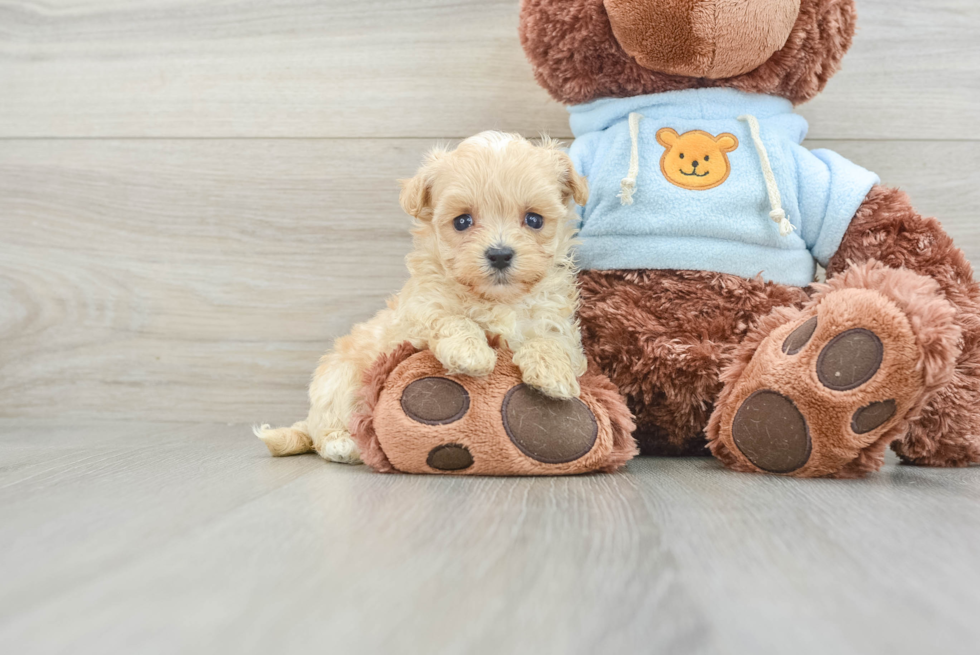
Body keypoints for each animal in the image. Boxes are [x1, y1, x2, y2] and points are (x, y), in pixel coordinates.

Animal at [255, 131, 588, 464]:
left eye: (534, 220)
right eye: (462, 221)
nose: (500, 254)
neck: (496, 299)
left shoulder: (556, 321)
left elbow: (551, 339)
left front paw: (553, 373)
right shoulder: (417, 315)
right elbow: (450, 319)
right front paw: (471, 352)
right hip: (339, 380)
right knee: (326, 429)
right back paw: (343, 444)